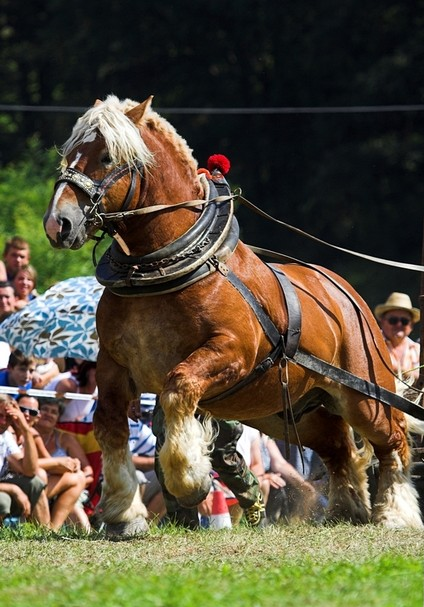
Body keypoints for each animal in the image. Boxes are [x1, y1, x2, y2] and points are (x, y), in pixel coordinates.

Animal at [44, 96, 422, 536]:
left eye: (106, 156)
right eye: (69, 153)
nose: (58, 223)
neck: (161, 267)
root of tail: (346, 296)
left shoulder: (231, 352)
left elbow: (177, 389)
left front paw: (188, 480)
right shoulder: (113, 362)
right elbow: (108, 423)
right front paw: (124, 511)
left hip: (363, 397)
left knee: (392, 442)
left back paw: (394, 514)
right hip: (292, 409)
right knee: (338, 449)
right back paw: (347, 509)